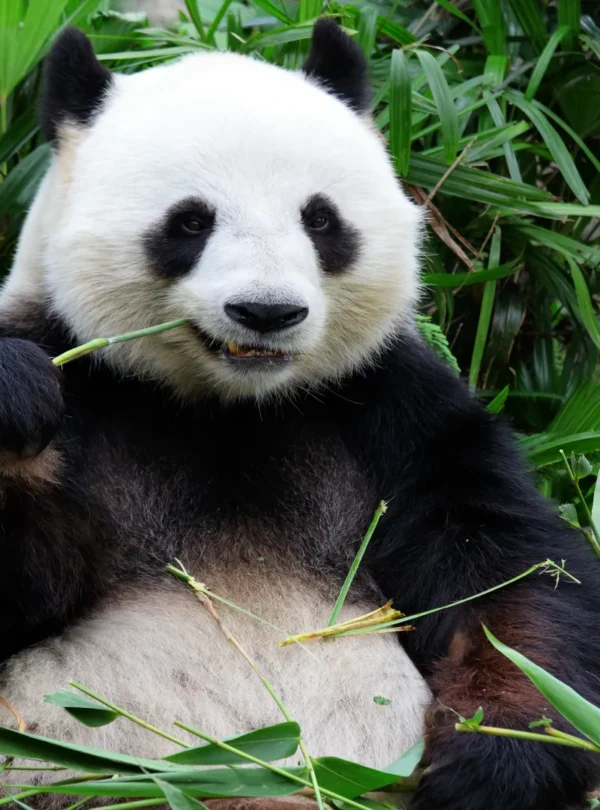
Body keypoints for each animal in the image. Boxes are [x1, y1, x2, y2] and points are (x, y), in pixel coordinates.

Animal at [0, 18, 599, 810]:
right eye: (189, 222)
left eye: (320, 218)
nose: (266, 312)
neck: (230, 409)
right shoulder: (87, 381)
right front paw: (14, 399)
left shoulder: (392, 407)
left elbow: (509, 577)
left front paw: (494, 759)